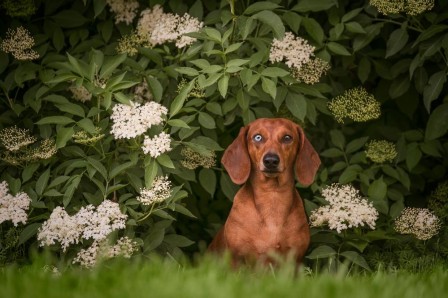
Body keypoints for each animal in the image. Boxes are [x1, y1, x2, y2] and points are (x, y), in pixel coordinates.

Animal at [208, 117, 320, 266]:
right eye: (258, 137)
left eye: (287, 138)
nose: (271, 160)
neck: (272, 196)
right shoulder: (236, 258)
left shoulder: (295, 260)